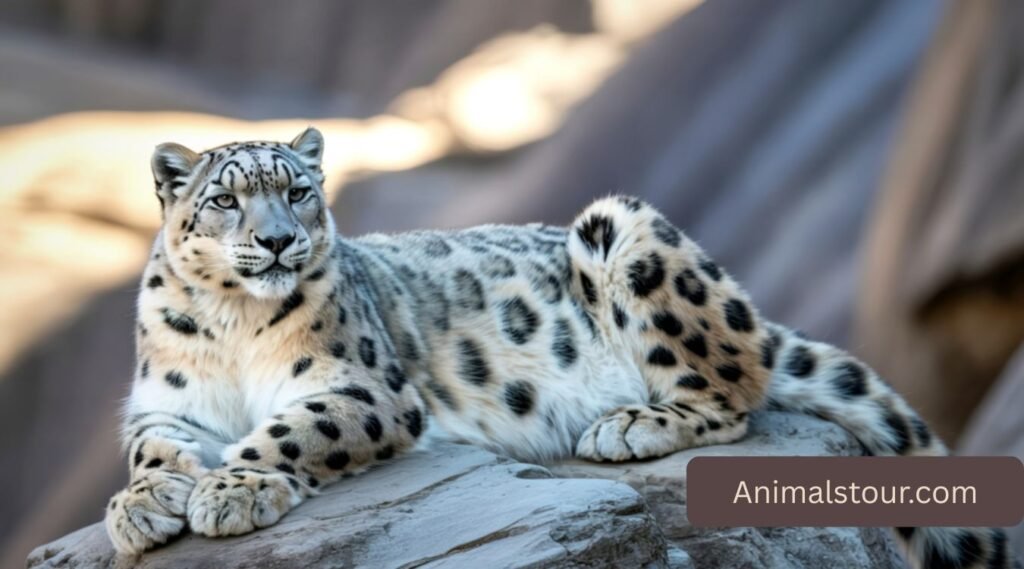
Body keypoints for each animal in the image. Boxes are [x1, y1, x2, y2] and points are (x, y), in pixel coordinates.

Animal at [104, 127, 1017, 569]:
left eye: (297, 190)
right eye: (224, 199)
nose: (280, 241)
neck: (233, 323)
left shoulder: (368, 385)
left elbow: (293, 428)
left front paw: (230, 490)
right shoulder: (164, 402)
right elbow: (152, 450)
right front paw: (142, 508)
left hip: (626, 231)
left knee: (734, 391)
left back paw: (629, 425)